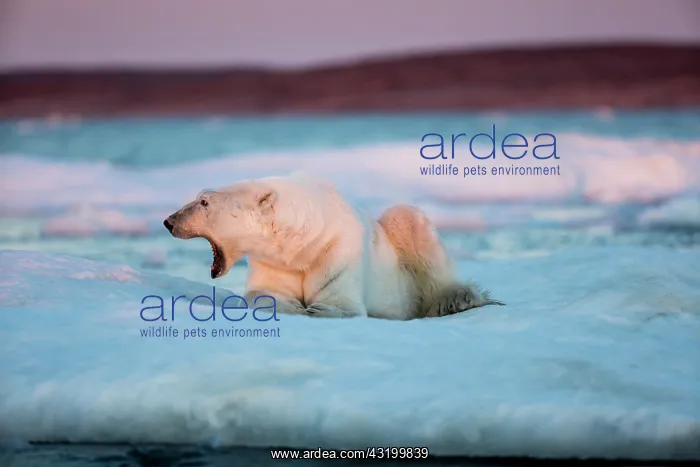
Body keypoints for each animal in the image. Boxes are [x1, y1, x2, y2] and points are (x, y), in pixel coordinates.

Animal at [163, 174, 503, 320]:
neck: (303, 241)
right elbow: (266, 293)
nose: (169, 221)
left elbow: (340, 304)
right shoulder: (274, 261)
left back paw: (456, 299)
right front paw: (287, 304)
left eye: (204, 202)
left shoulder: (337, 252)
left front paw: (316, 307)